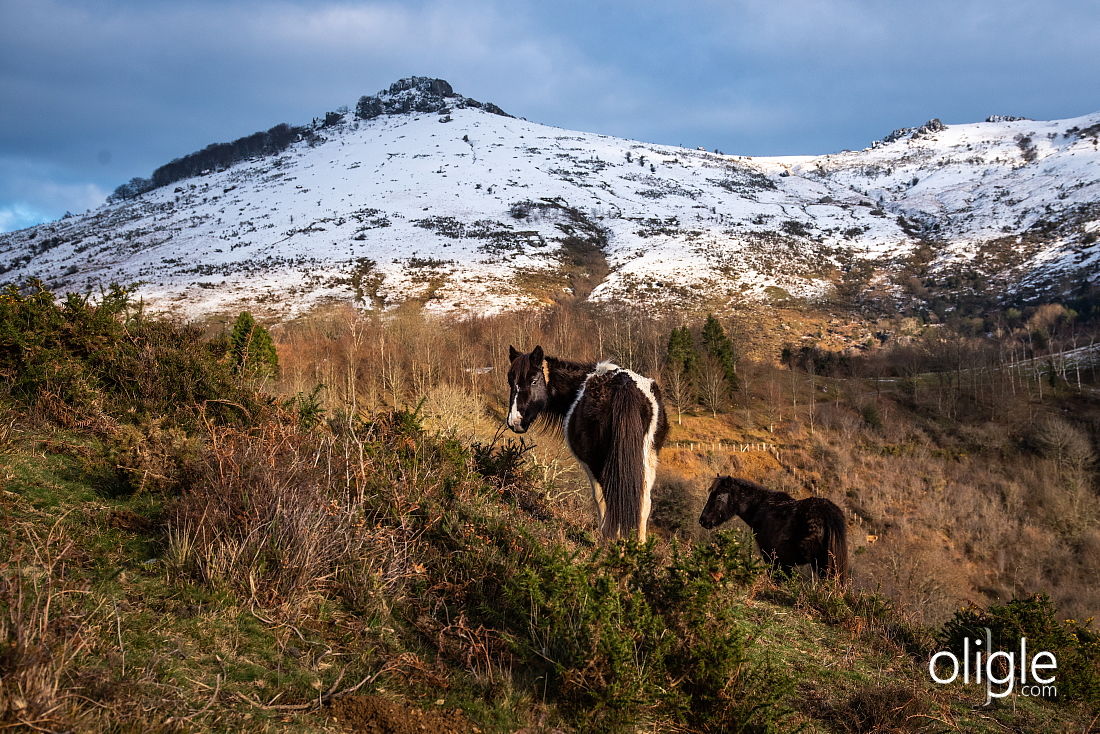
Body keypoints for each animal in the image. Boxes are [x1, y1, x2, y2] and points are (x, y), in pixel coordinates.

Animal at [503, 347, 664, 543]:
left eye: (534, 381)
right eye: (510, 381)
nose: (515, 422)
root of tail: (624, 386)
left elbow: (600, 498)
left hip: (598, 461)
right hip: (648, 458)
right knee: (643, 499)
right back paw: (638, 544)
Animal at [699, 477, 844, 581]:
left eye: (719, 496)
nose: (703, 520)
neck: (760, 508)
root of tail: (827, 511)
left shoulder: (771, 557)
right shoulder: (784, 562)